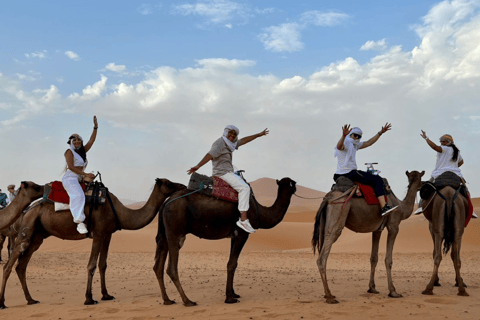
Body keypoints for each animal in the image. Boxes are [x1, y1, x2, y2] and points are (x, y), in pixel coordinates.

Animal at [0, 176, 186, 308]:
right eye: (169, 183)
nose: (183, 186)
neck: (119, 211)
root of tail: (27, 210)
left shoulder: (107, 234)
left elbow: (103, 264)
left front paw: (106, 295)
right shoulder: (97, 233)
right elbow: (91, 265)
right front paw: (89, 298)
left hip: (38, 235)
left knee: (21, 265)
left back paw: (30, 299)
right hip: (26, 229)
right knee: (9, 264)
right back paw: (3, 303)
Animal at [154, 178, 296, 304]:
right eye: (293, 183)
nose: (295, 188)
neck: (259, 211)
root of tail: (166, 202)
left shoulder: (234, 235)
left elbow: (233, 263)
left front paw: (234, 293)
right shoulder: (243, 234)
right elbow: (232, 264)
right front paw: (229, 298)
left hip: (165, 233)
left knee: (158, 266)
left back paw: (167, 300)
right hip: (174, 231)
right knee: (171, 268)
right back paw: (187, 301)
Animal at [312, 170, 424, 302]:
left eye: (417, 177)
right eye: (421, 178)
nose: (423, 184)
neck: (401, 206)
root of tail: (327, 198)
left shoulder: (377, 230)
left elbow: (374, 258)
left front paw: (372, 288)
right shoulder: (394, 225)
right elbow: (388, 260)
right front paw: (393, 291)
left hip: (324, 222)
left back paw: (327, 294)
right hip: (338, 209)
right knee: (323, 255)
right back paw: (330, 296)